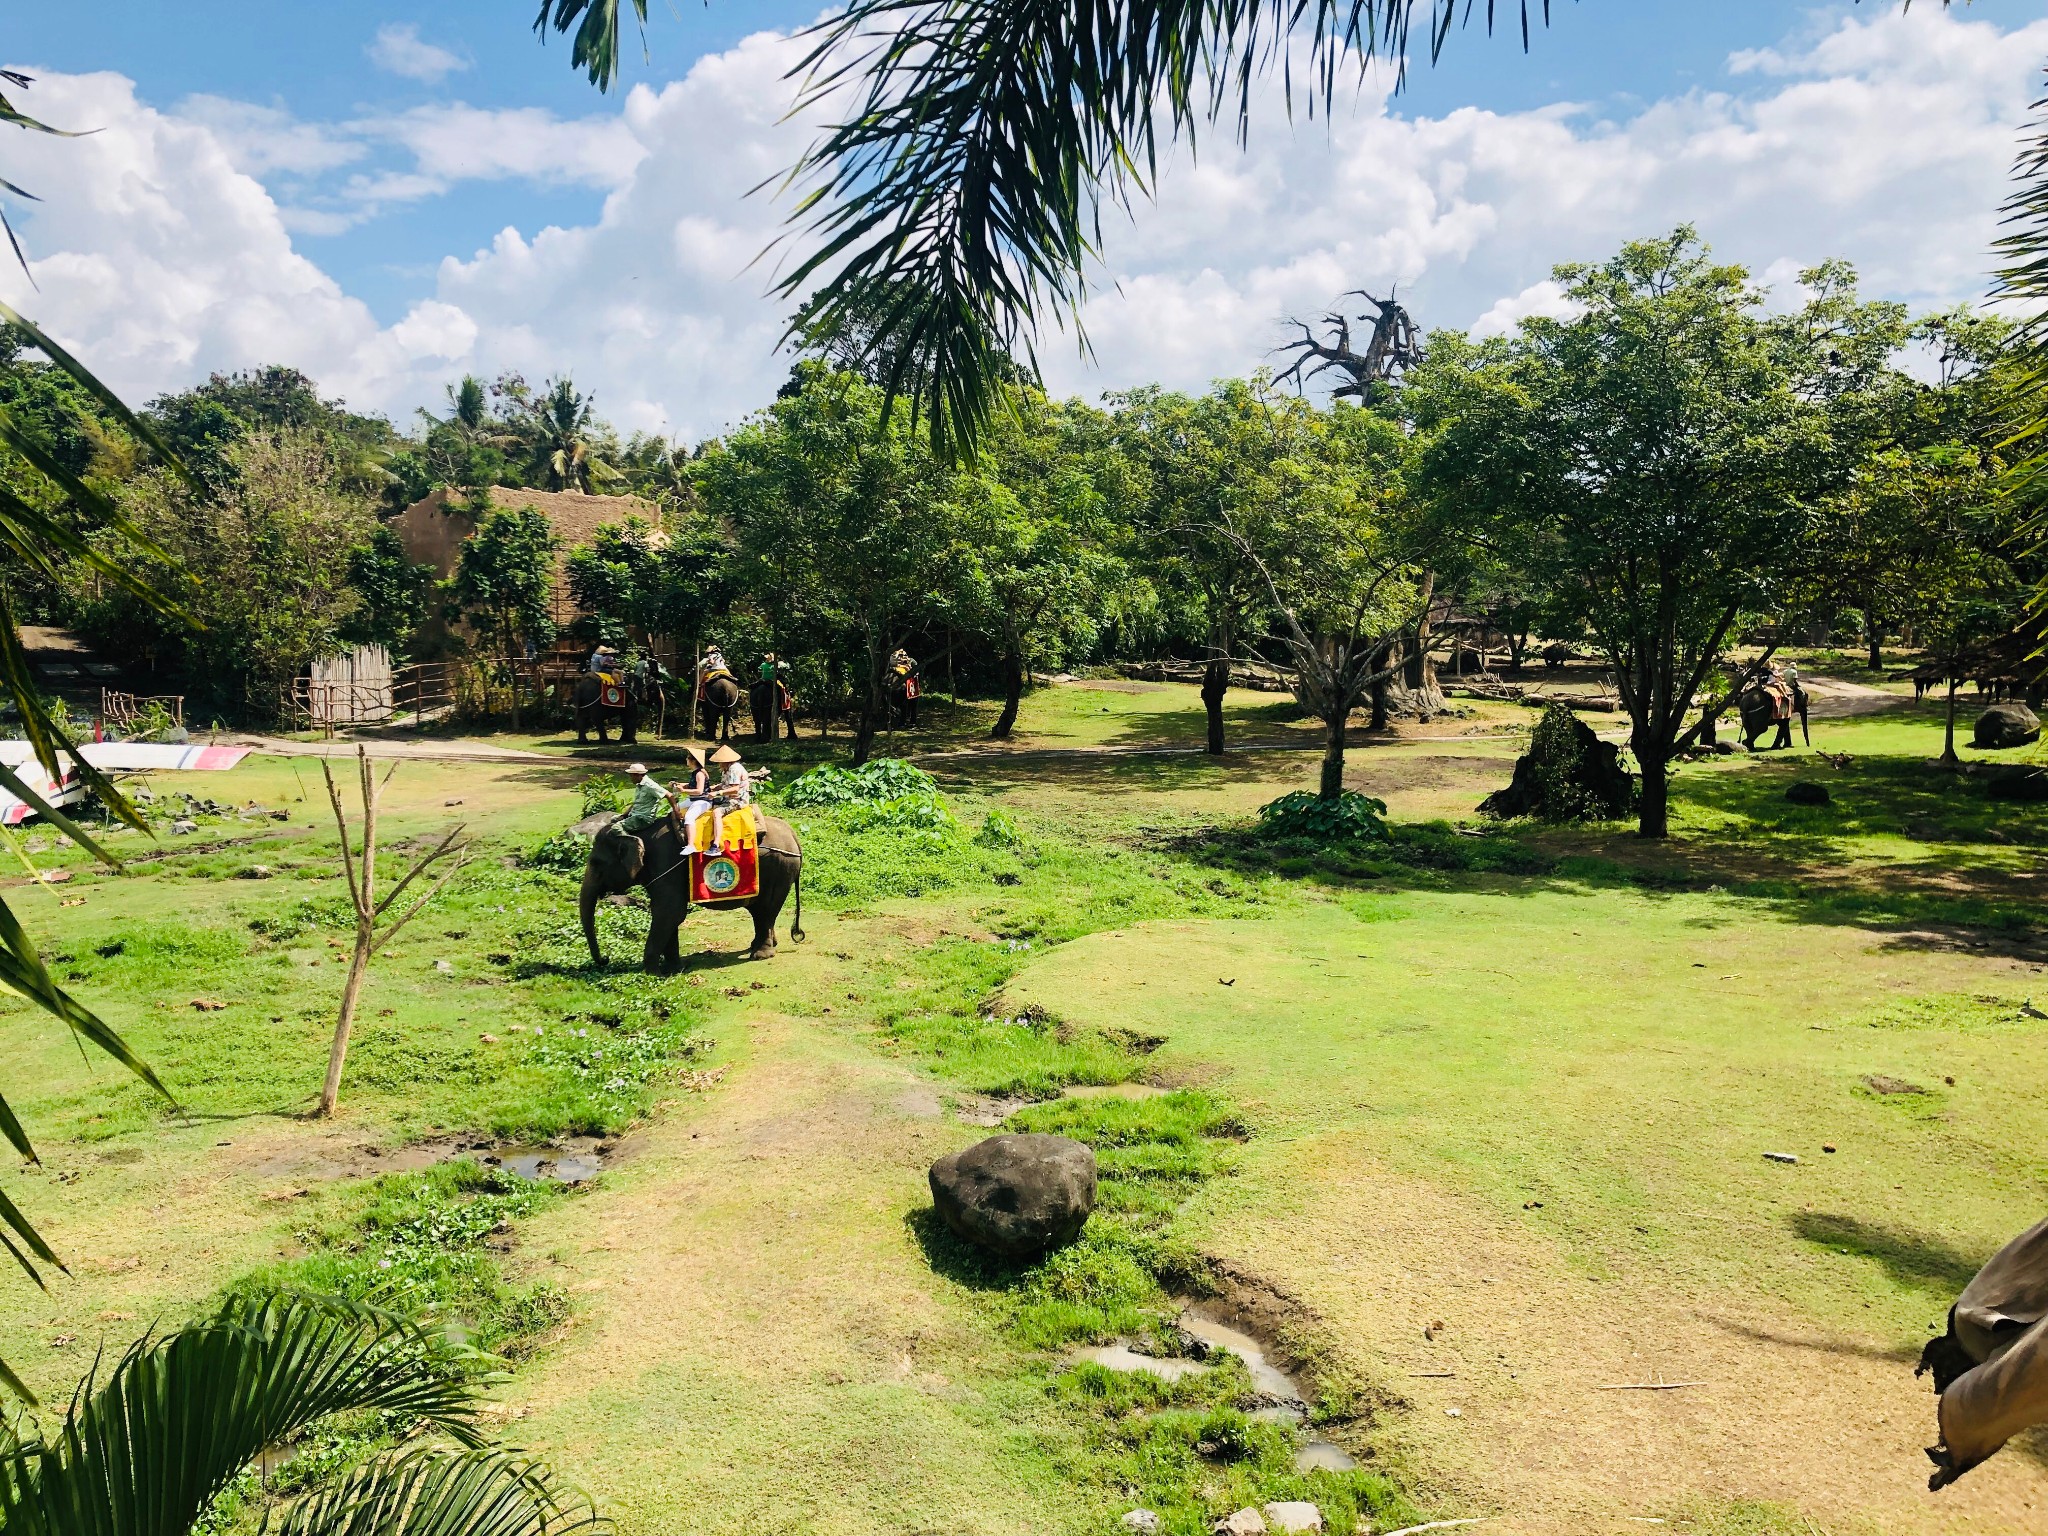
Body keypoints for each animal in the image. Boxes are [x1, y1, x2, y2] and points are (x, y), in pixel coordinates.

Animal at [581, 811, 802, 966]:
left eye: (596, 863)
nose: (605, 959)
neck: (640, 833)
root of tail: (793, 834)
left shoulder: (666, 865)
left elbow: (669, 912)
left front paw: (652, 971)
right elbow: (669, 915)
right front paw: (674, 968)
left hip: (778, 868)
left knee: (765, 910)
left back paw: (760, 955)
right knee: (760, 912)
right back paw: (759, 946)